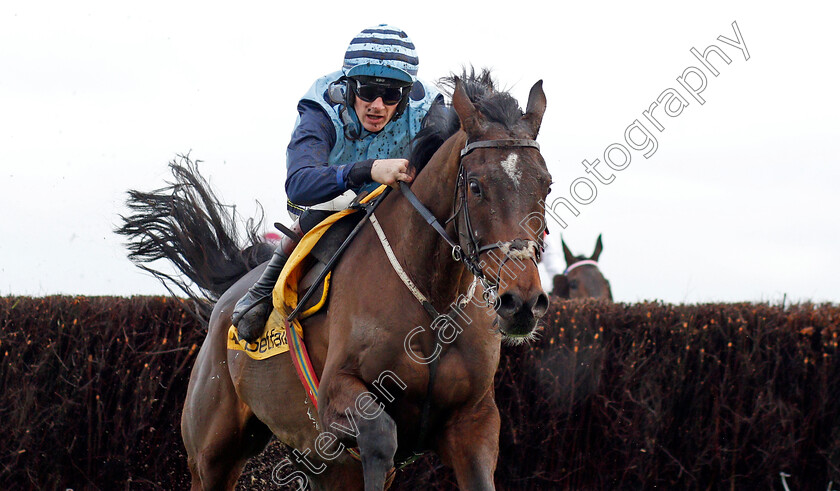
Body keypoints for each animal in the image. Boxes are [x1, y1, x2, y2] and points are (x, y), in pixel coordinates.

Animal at [118, 71, 552, 490]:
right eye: (476, 186)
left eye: (545, 184)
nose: (522, 302)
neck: (434, 299)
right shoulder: (333, 402)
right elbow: (380, 436)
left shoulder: (474, 421)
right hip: (212, 452)